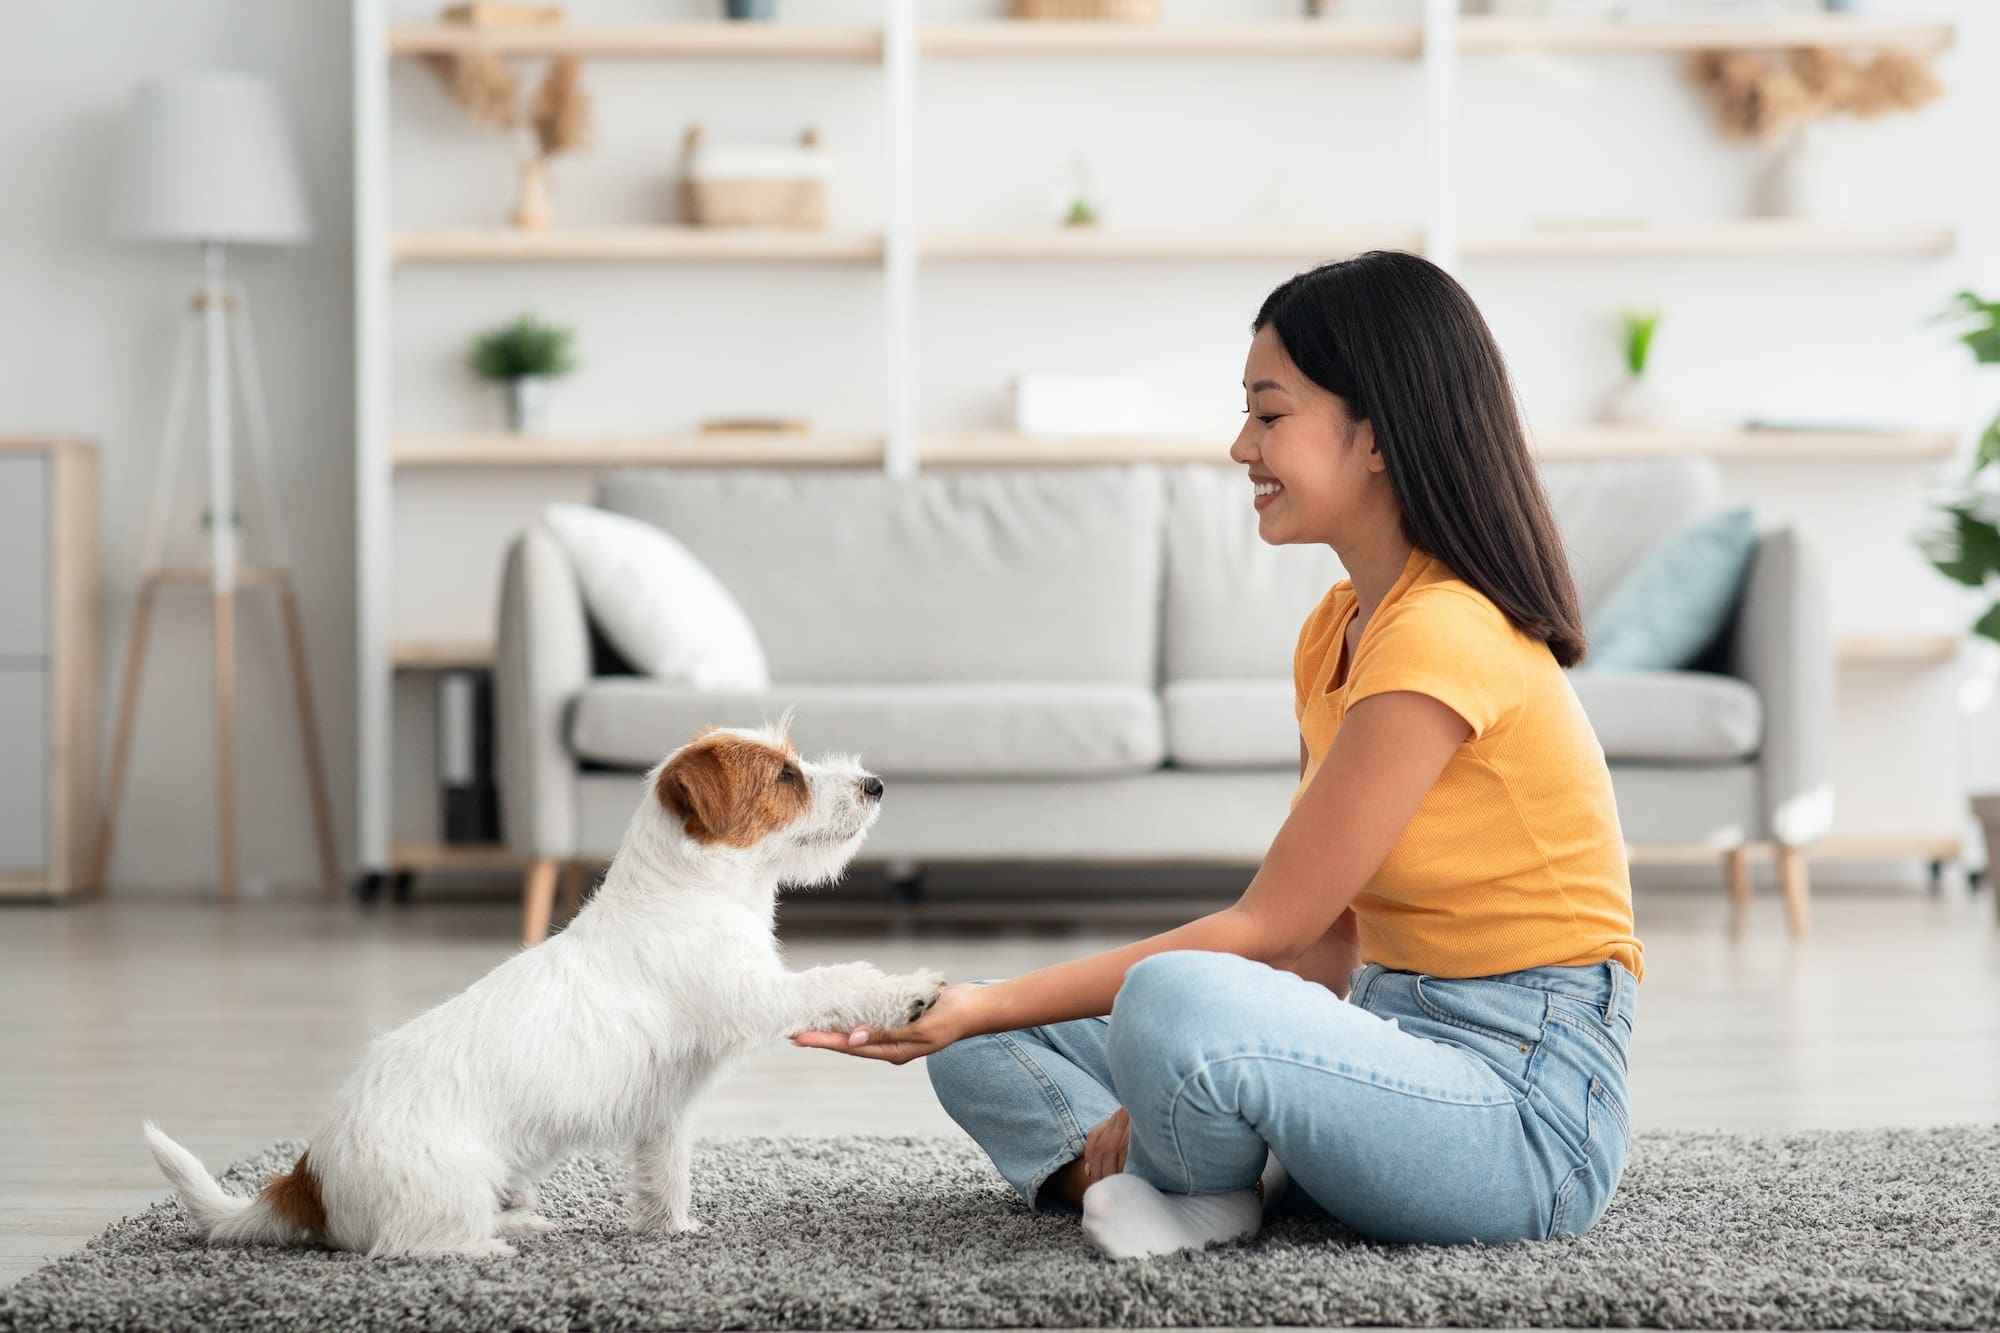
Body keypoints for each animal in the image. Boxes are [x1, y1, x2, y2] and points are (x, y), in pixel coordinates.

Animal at [145, 720, 940, 1248]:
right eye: (785, 777)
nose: (874, 783)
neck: (691, 889)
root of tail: (309, 1173)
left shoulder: (664, 1111)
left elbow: (665, 1172)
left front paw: (674, 1229)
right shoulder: (753, 994)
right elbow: (832, 979)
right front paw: (906, 990)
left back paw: (522, 1218)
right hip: (448, 1183)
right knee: (414, 1246)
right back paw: (495, 1247)